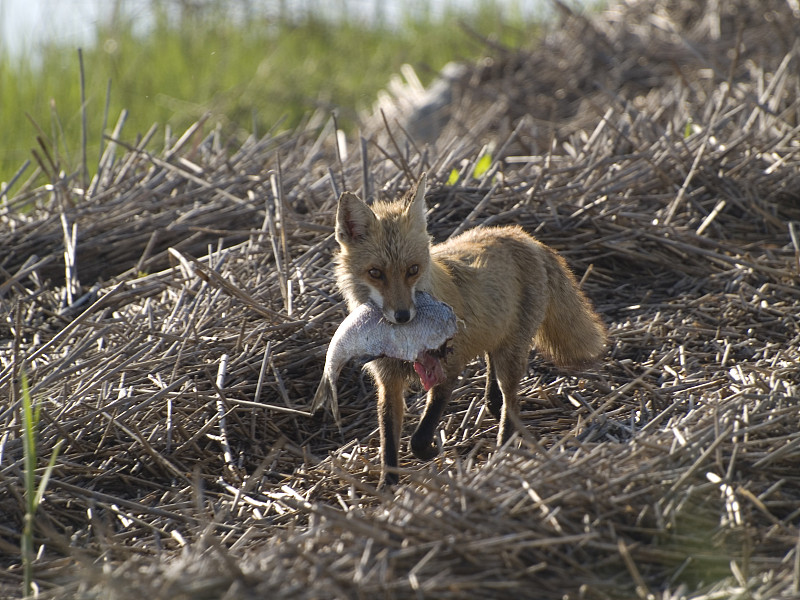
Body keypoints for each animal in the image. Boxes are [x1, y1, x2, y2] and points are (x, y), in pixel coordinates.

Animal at [332, 172, 608, 482]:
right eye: (375, 273)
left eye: (412, 270)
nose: (402, 316)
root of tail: (523, 235)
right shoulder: (387, 381)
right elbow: (388, 442)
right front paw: (386, 486)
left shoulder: (448, 369)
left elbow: (418, 438)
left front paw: (430, 450)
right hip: (497, 338)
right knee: (495, 381)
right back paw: (498, 413)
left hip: (513, 354)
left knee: (512, 403)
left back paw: (504, 450)